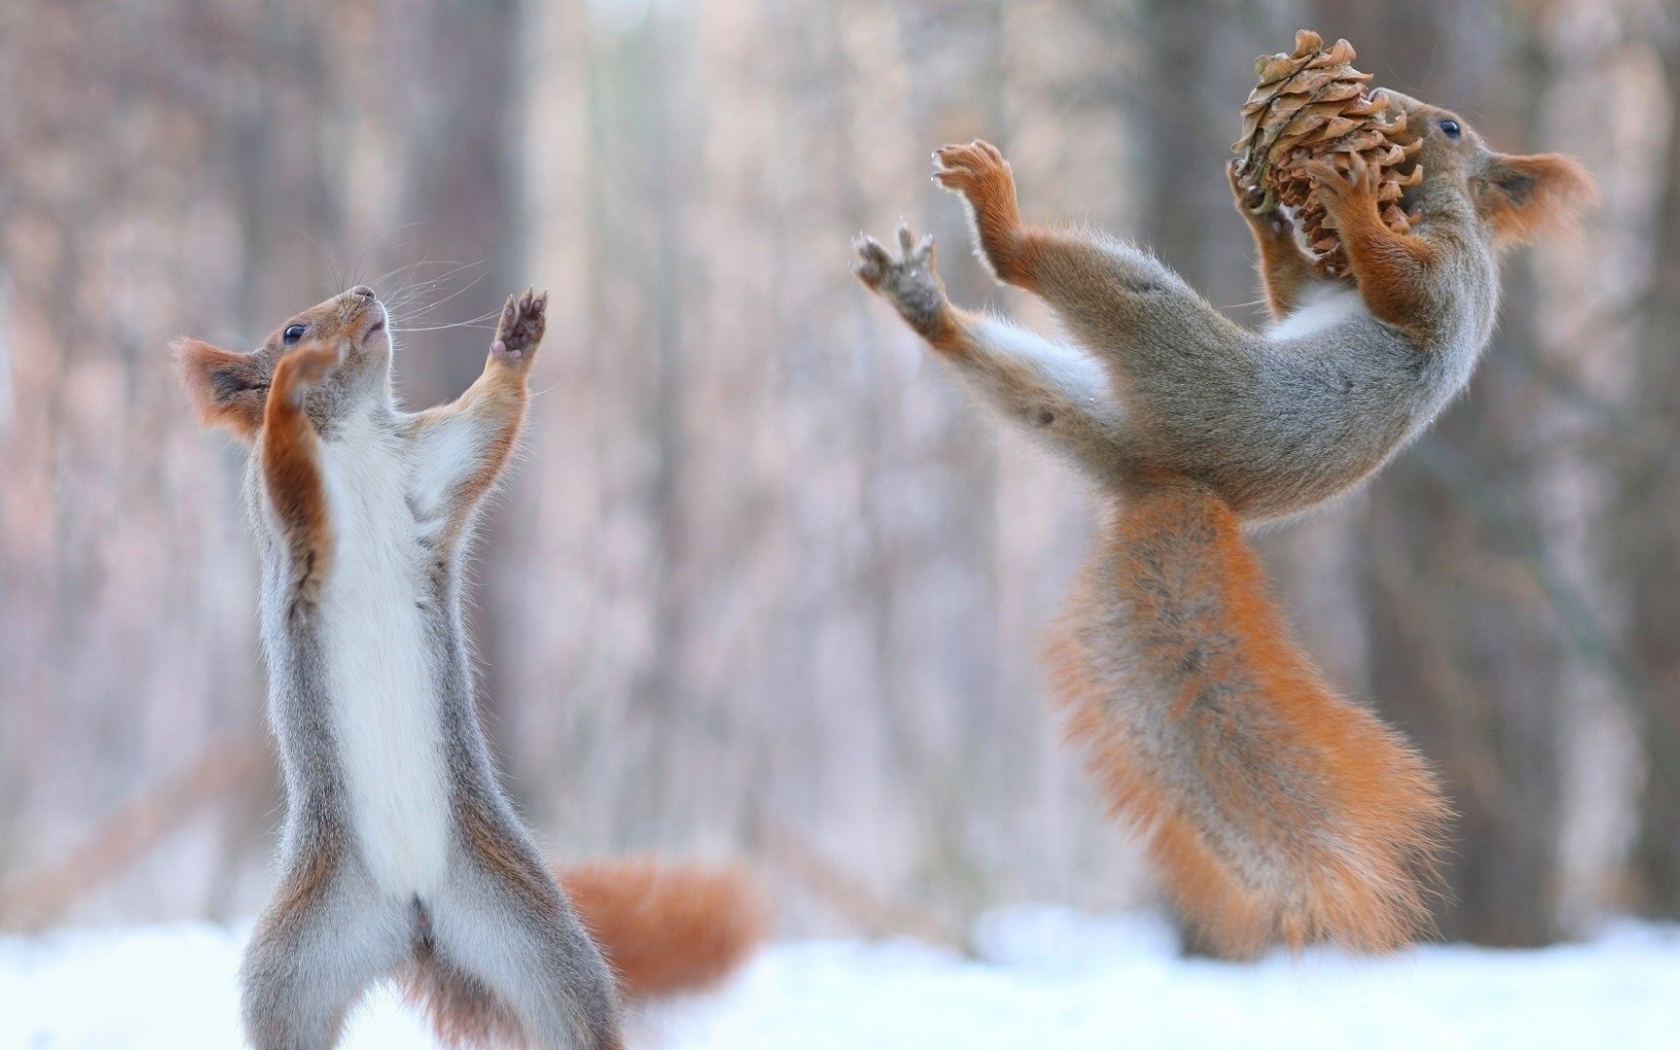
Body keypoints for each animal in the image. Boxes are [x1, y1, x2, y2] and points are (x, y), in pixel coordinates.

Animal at [178, 287, 769, 1048]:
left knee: (571, 1004)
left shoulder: (429, 467)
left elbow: (486, 424)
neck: (352, 435)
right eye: (291, 329)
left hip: (528, 928)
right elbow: (285, 456)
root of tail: (414, 914)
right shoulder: (287, 512)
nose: (366, 294)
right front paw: (291, 385)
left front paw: (515, 341)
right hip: (294, 966)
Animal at [860, 94, 1592, 954]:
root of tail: (1178, 483)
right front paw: (1266, 214)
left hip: (1176, 351)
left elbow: (1400, 286)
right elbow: (1292, 294)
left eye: (1449, 129)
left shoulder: (1449, 279)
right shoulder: (1320, 293)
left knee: (1044, 270)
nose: (1389, 109)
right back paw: (923, 304)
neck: (1427, 208)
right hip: (1081, 410)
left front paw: (1347, 199)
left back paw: (997, 216)